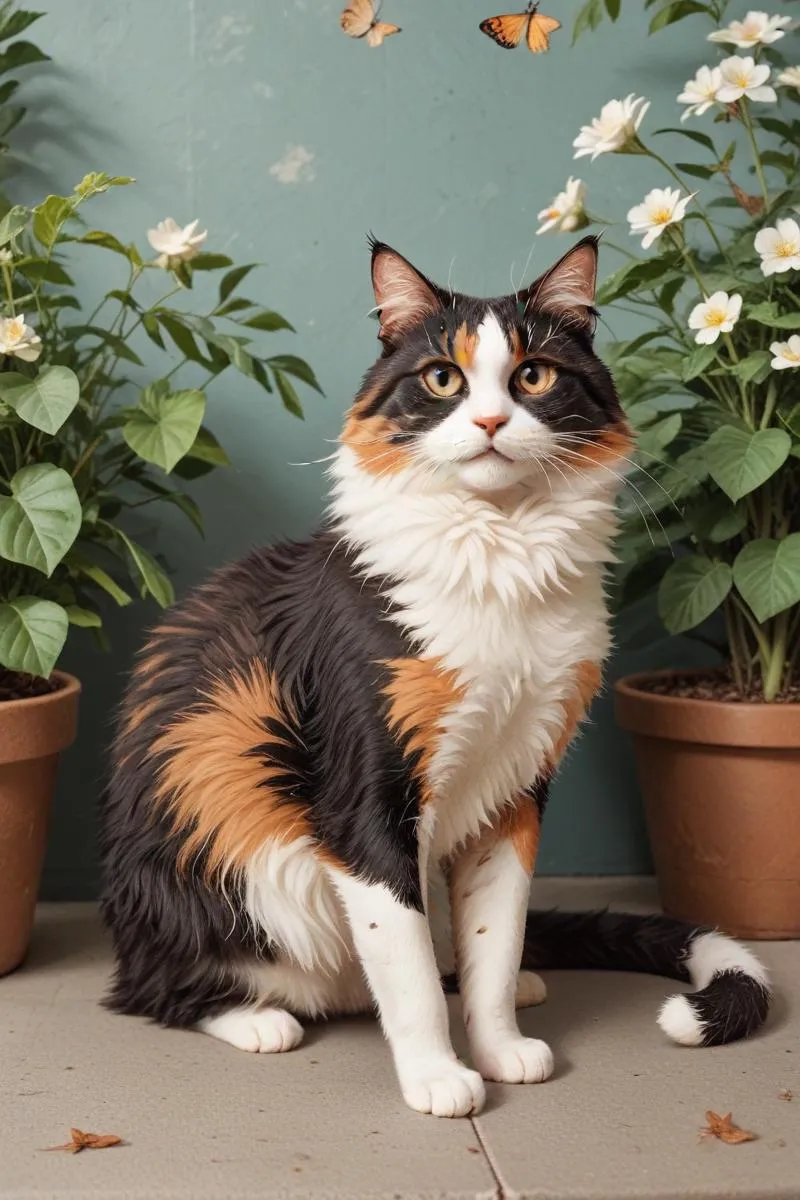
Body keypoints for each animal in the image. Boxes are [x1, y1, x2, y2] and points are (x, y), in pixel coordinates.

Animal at [100, 238, 767, 1118]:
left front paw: (498, 1042)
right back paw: (257, 1017)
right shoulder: (365, 798)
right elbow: (407, 961)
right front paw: (435, 1075)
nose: (489, 420)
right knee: (154, 989)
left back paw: (519, 985)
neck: (500, 552)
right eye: (443, 378)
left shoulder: (518, 786)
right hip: (217, 864)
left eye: (534, 375)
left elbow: (495, 938)